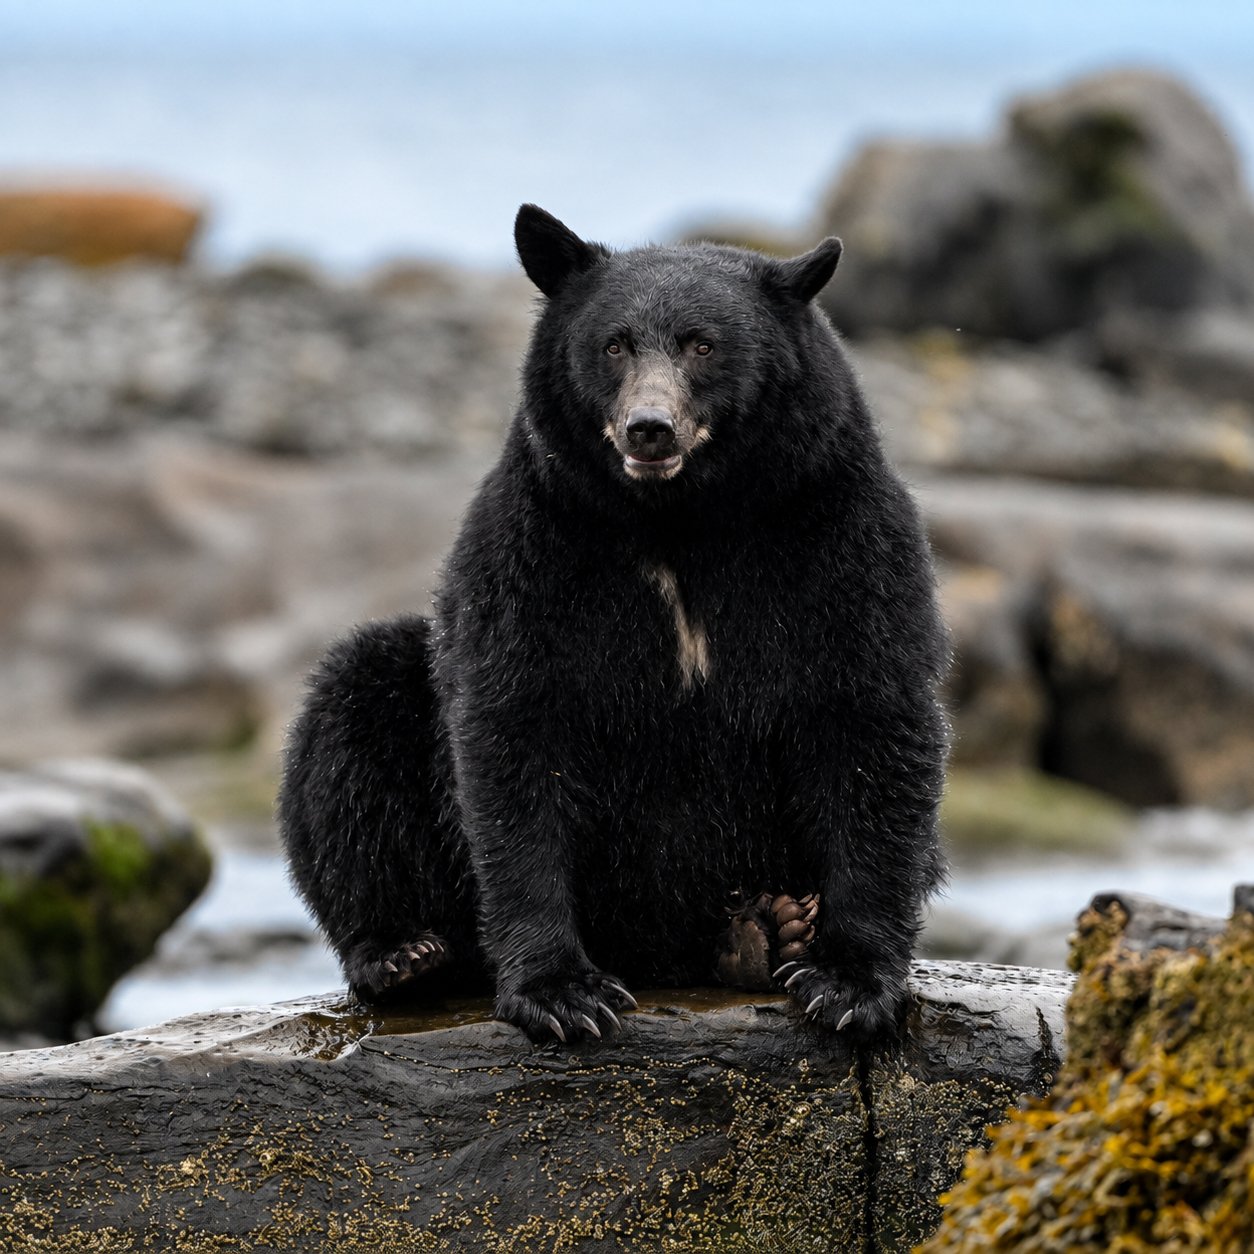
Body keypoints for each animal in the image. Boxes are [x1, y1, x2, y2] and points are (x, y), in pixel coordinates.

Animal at [278, 204, 949, 1045]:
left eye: (703, 344)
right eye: (614, 344)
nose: (648, 428)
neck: (679, 523)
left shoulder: (841, 534)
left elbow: (871, 720)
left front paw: (848, 981)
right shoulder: (538, 552)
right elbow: (515, 735)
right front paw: (562, 991)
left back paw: (772, 929)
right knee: (351, 718)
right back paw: (403, 953)